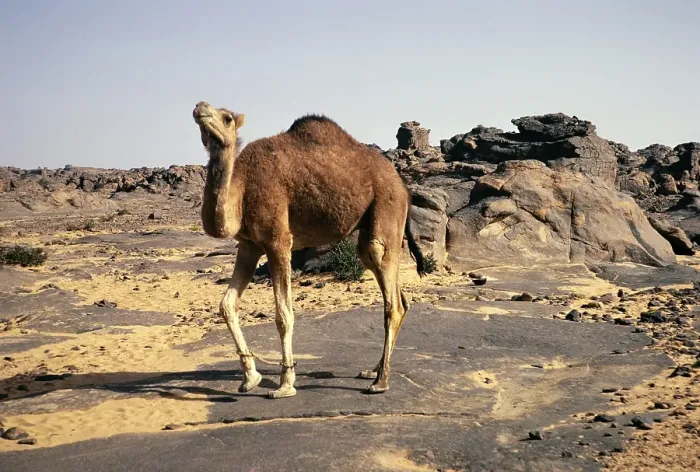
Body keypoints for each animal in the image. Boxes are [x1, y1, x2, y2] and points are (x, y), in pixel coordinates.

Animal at [192, 101, 426, 399]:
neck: (242, 187)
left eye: (227, 118)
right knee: (396, 293)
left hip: (387, 206)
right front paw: (250, 378)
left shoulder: (278, 241)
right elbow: (227, 305)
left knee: (390, 294)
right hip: (371, 225)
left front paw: (285, 384)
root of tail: (404, 188)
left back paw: (380, 382)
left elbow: (283, 315)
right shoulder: (249, 245)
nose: (200, 107)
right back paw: (372, 370)